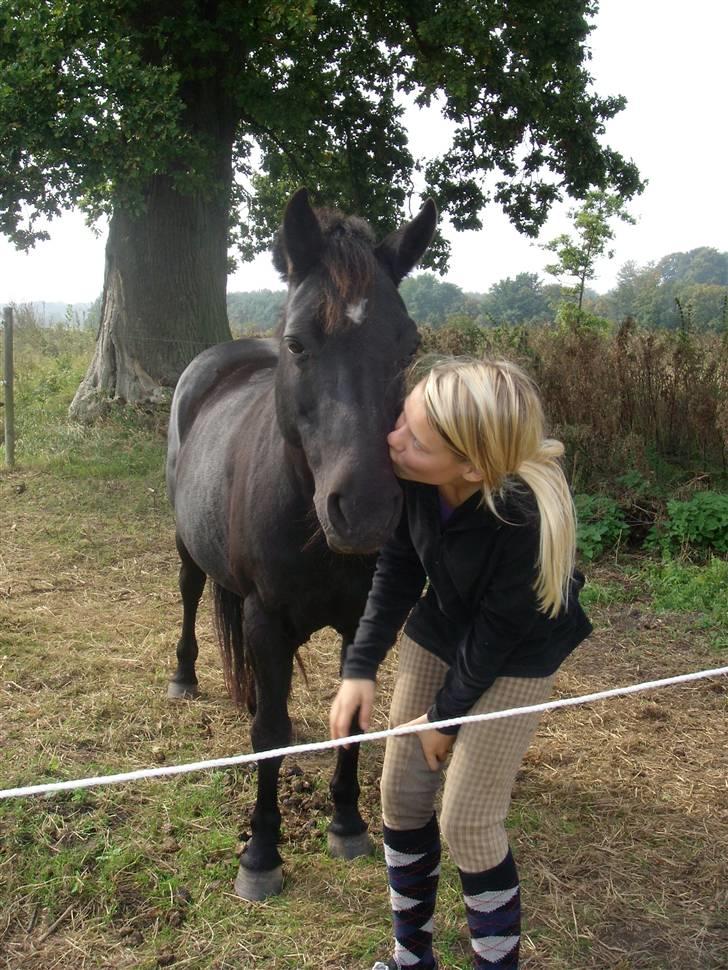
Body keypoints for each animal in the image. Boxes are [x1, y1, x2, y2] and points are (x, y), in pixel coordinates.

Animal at [165, 188, 437, 900]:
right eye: (298, 343)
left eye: (408, 346)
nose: (366, 511)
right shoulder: (266, 615)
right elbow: (270, 733)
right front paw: (261, 853)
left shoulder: (361, 620)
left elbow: (354, 721)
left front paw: (347, 824)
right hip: (186, 545)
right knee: (190, 593)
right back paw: (183, 676)